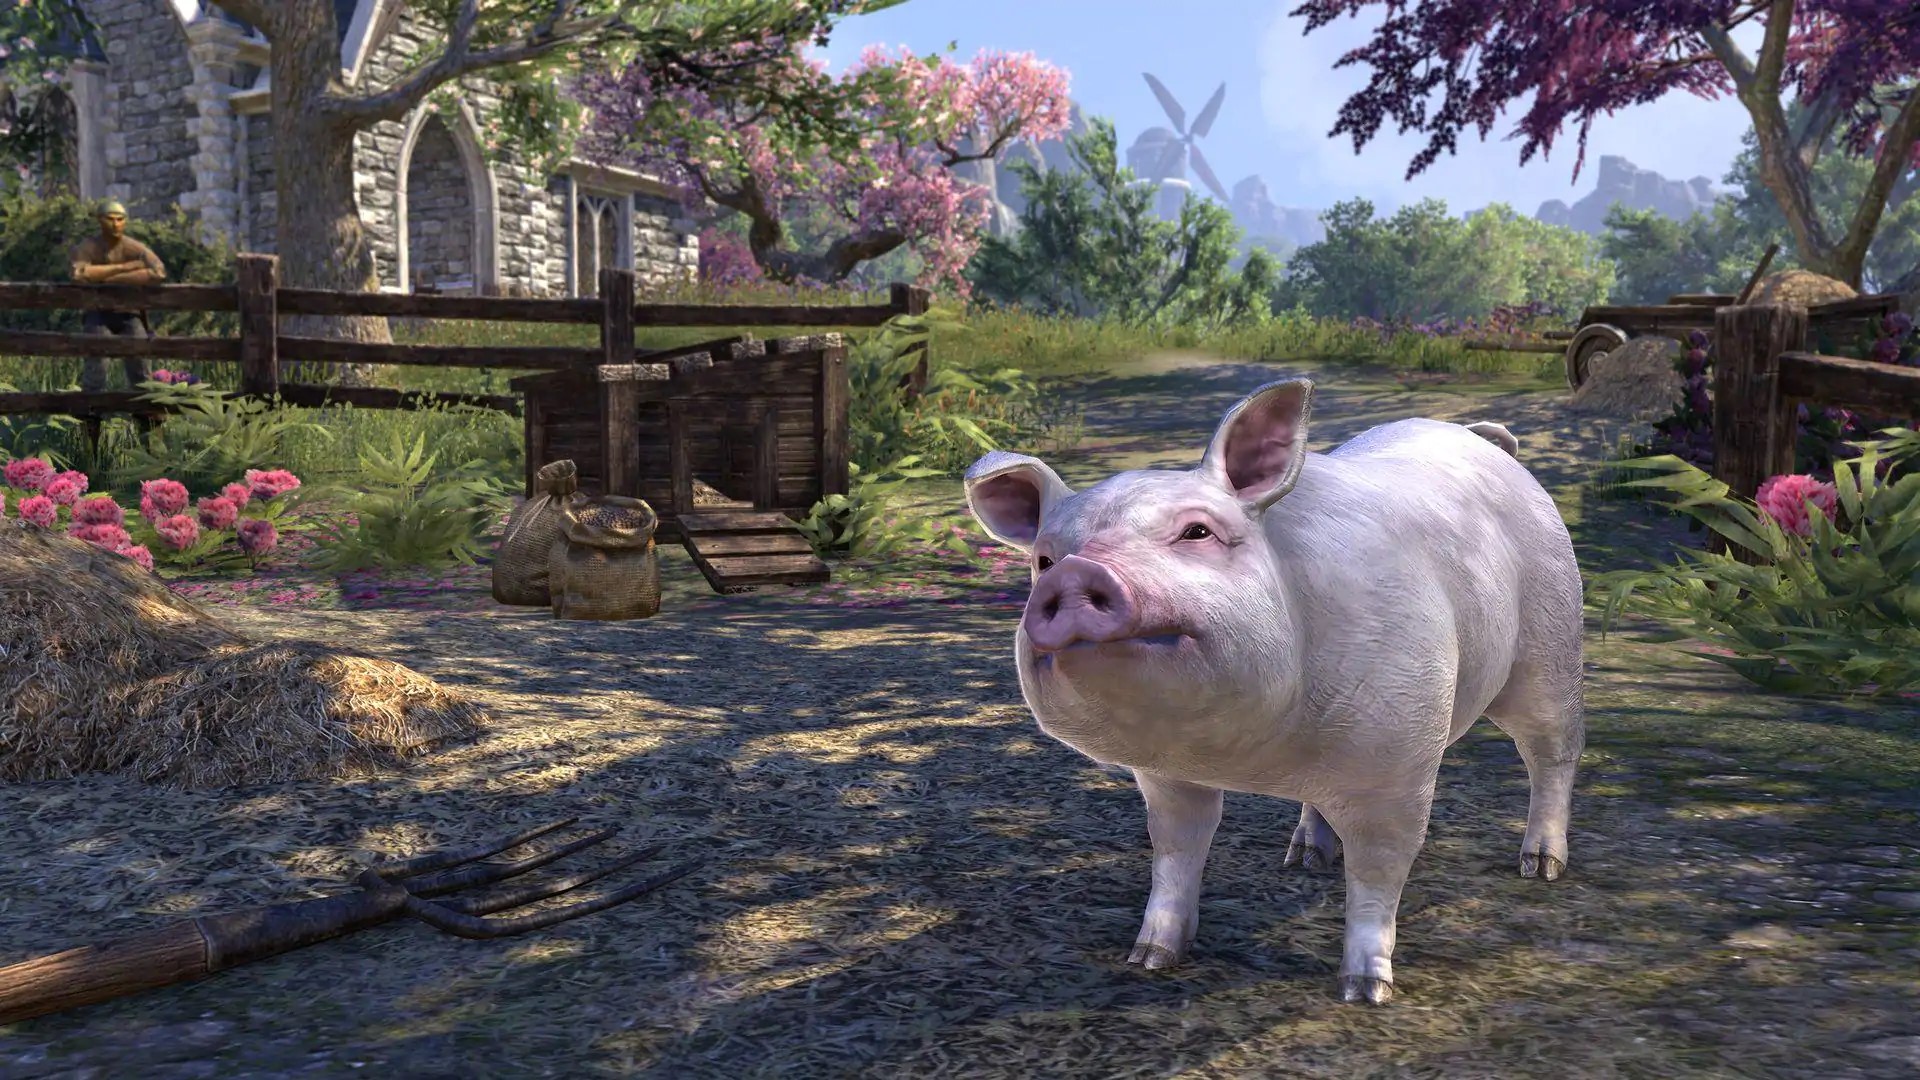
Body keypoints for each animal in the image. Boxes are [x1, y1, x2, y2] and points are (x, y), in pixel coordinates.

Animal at [962, 378, 1584, 1005]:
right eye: (1044, 560)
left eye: (1197, 532)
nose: (1074, 573)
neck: (1247, 759)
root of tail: (1484, 440)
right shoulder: (1166, 775)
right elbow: (1176, 851)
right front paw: (1149, 959)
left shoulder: (1397, 762)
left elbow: (1379, 872)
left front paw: (1365, 992)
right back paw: (1303, 859)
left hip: (1552, 646)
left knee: (1554, 751)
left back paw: (1541, 867)